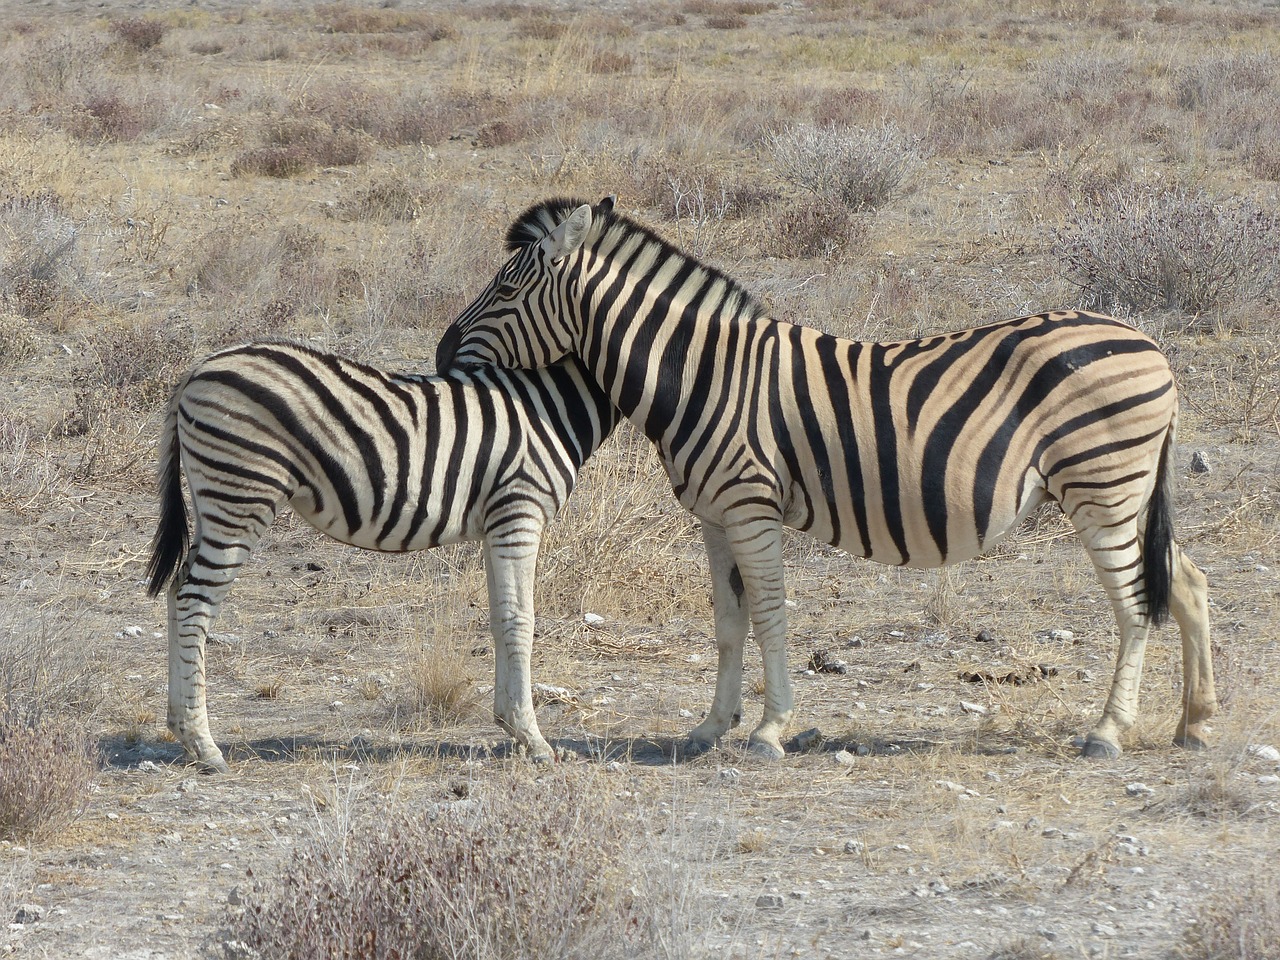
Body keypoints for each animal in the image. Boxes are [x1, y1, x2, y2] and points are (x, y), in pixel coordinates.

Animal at [145, 343, 614, 778]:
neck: (550, 405)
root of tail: (198, 369)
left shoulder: (497, 526)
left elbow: (500, 618)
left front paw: (512, 727)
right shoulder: (519, 511)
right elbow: (520, 619)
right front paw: (533, 740)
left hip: (214, 499)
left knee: (177, 589)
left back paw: (181, 728)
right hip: (241, 494)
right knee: (193, 600)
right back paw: (203, 745)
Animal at [435, 197, 1213, 768]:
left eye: (506, 287)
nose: (440, 354)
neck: (703, 377)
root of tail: (1149, 344)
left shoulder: (751, 505)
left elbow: (770, 613)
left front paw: (769, 730)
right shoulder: (713, 515)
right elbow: (727, 622)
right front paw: (708, 728)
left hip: (1102, 489)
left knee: (1137, 603)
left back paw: (1109, 732)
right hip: (1127, 494)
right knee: (1189, 582)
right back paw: (1195, 723)